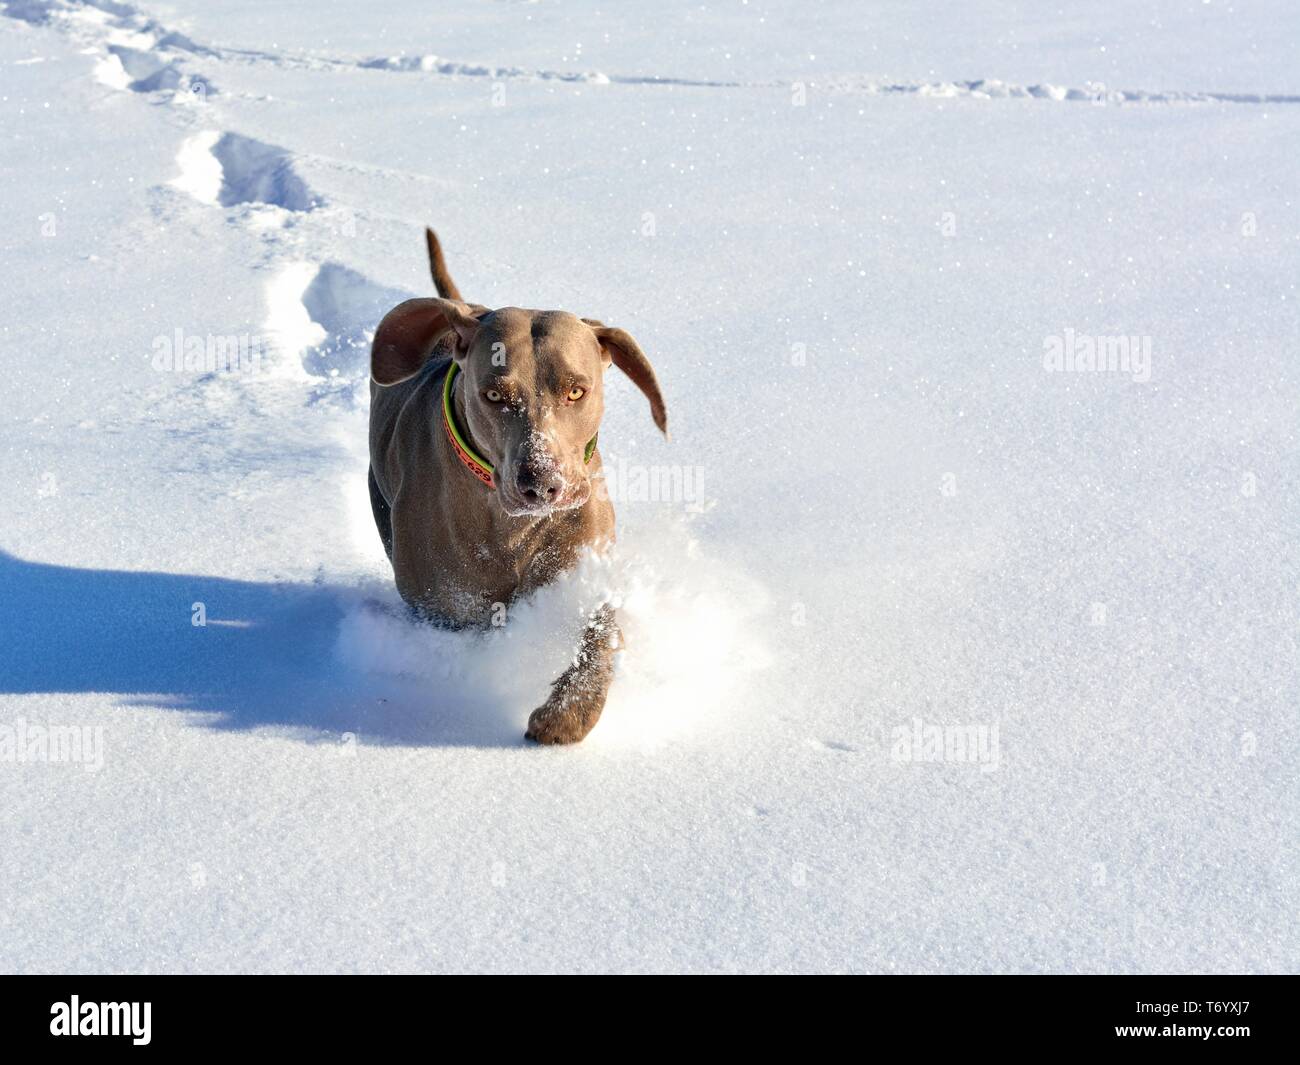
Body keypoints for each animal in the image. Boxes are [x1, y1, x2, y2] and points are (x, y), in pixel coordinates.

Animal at [369, 228, 665, 743]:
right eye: (493, 395)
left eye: (576, 391)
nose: (541, 485)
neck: (511, 529)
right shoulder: (448, 608)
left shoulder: (582, 562)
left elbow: (601, 627)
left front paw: (568, 712)